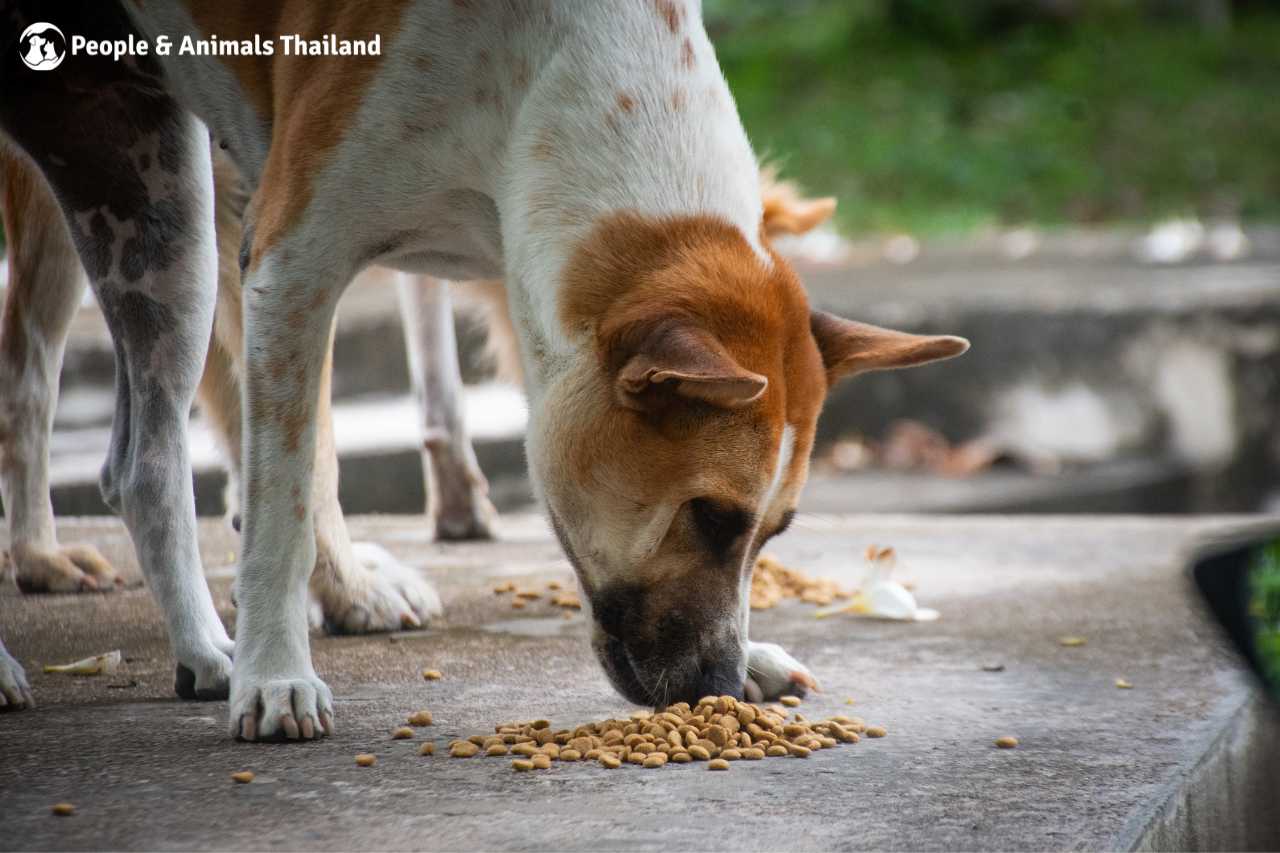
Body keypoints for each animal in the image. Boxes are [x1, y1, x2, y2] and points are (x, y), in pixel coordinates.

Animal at [0, 0, 962, 732]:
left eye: (775, 532)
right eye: (710, 515)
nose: (715, 686)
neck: (536, 67)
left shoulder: (519, 273)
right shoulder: (290, 257)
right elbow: (290, 489)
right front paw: (276, 673)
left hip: (137, 181)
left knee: (135, 461)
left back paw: (200, 647)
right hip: (173, 217)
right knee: (77, 397)